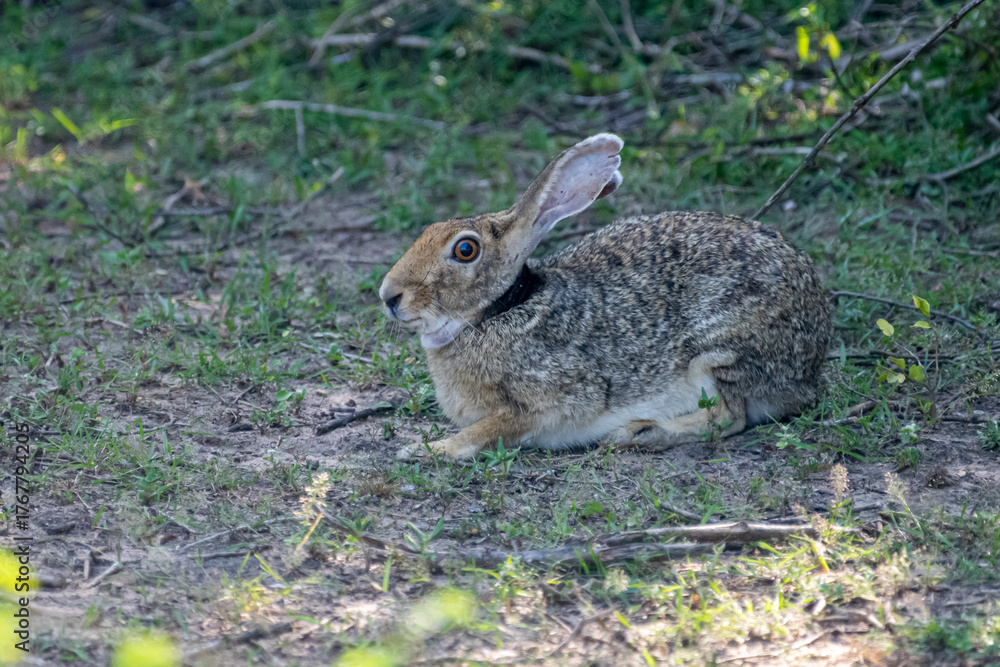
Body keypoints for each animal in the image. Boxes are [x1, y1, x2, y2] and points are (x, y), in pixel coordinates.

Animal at [379, 133, 831, 460]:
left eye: (465, 250)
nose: (389, 295)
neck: (500, 310)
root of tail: (812, 358)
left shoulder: (551, 402)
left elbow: (487, 429)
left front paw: (427, 449)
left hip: (718, 351)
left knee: (729, 416)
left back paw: (640, 432)